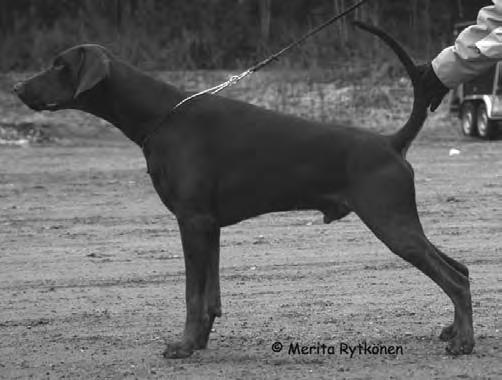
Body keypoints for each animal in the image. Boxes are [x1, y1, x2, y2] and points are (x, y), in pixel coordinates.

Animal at [11, 23, 474, 356]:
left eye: (59, 65)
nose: (16, 88)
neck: (160, 115)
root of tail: (390, 142)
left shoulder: (192, 221)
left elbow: (191, 294)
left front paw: (183, 347)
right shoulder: (209, 225)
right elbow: (209, 295)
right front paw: (198, 341)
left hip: (389, 221)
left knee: (455, 279)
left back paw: (464, 343)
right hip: (398, 220)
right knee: (461, 268)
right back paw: (453, 330)